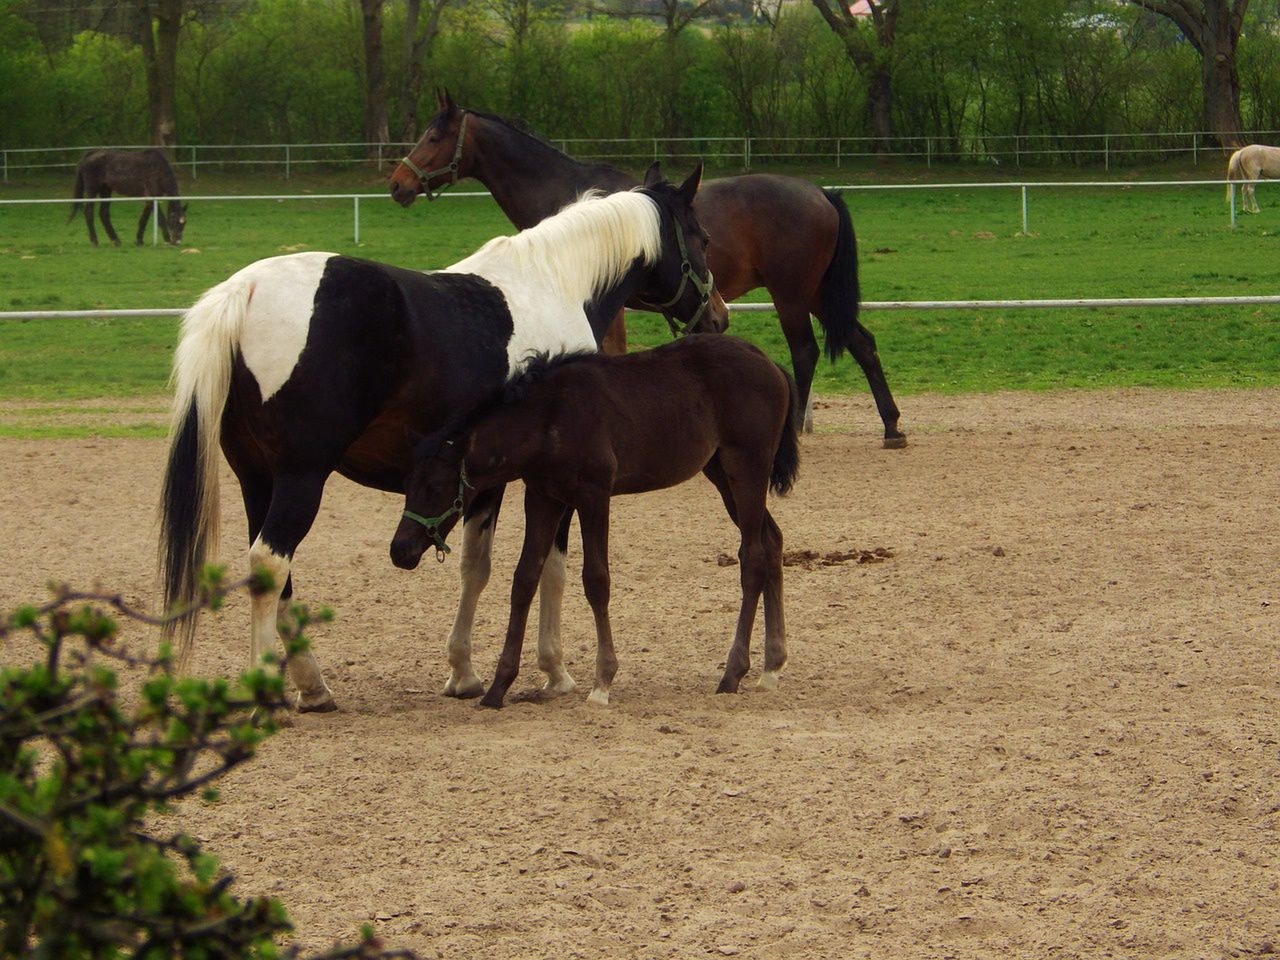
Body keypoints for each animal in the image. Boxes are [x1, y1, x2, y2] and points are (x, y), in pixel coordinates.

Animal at [157, 165, 721, 711]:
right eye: (702, 237)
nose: (717, 315)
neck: (557, 282)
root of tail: (245, 290)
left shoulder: (486, 480)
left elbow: (476, 566)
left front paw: (464, 673)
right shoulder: (547, 480)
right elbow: (546, 568)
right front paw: (553, 672)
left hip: (256, 478)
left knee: (273, 572)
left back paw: (314, 687)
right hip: (301, 477)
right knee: (271, 562)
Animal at [384, 94, 906, 448]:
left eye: (434, 137)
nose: (397, 184)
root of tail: (822, 192)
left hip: (792, 295)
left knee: (805, 352)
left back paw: (798, 427)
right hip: (816, 293)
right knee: (862, 342)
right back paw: (892, 425)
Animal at [389, 335, 798, 706]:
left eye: (436, 487)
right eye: (407, 484)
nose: (400, 550)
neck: (549, 417)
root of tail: (771, 363)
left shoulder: (594, 496)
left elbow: (596, 580)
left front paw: (602, 682)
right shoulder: (543, 498)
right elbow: (524, 579)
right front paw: (498, 688)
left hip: (746, 467)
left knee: (753, 556)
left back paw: (733, 672)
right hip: (721, 473)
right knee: (772, 542)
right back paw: (771, 667)